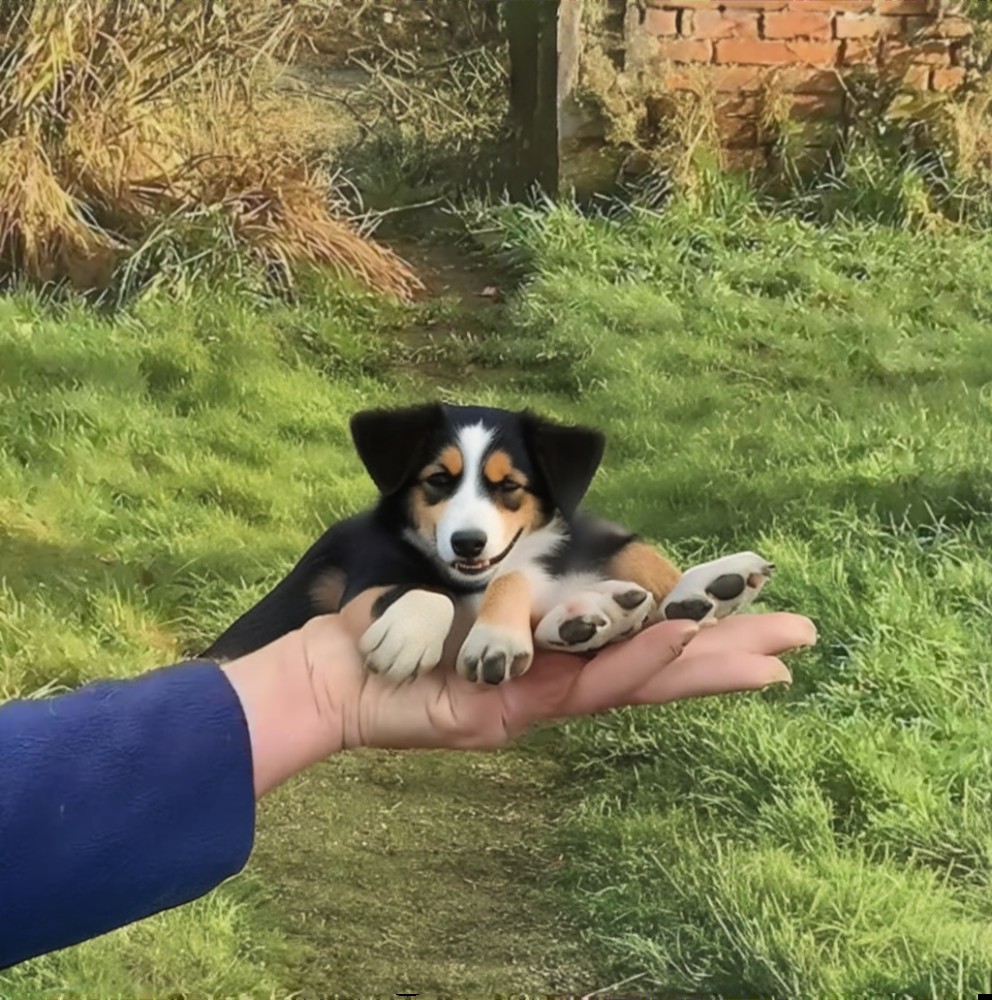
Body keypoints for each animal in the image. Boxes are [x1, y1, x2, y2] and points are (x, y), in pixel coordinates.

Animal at [203, 402, 776, 684]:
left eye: (510, 486)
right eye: (438, 479)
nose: (468, 544)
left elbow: (621, 547)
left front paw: (706, 585)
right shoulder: (367, 575)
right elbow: (436, 591)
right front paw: (411, 638)